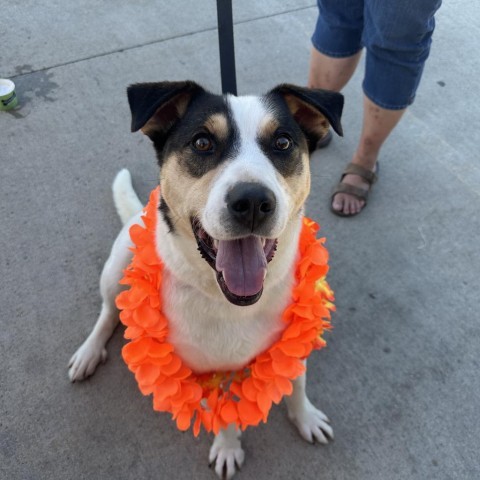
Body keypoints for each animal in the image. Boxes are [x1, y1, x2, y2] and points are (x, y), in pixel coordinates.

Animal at [67, 80, 344, 478]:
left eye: (282, 142)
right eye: (202, 143)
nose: (253, 201)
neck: (232, 302)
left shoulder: (294, 336)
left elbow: (296, 380)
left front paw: (305, 416)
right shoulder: (205, 370)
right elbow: (223, 414)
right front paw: (228, 446)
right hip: (117, 264)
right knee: (109, 311)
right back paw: (89, 351)